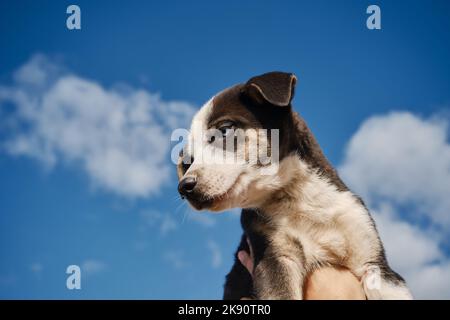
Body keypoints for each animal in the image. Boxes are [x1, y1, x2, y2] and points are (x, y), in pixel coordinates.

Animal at [175, 72, 412, 300]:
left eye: (224, 130)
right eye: (189, 161)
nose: (184, 187)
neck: (297, 195)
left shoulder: (377, 265)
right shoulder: (275, 259)